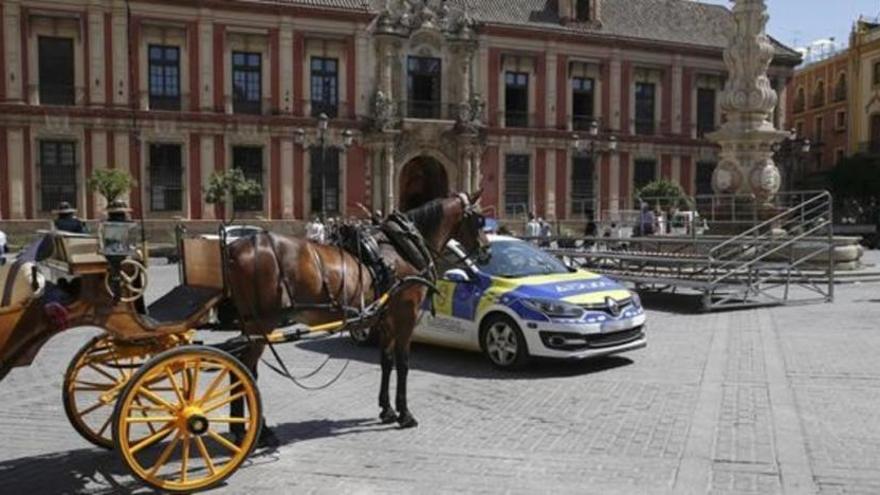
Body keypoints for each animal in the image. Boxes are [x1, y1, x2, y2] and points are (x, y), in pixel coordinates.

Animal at [225, 192, 488, 432]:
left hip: (251, 325)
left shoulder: (386, 319)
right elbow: (403, 363)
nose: (486, 251)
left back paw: (241, 427)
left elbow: (386, 361)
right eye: (479, 219)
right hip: (263, 323)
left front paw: (387, 409)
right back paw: (258, 431)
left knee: (238, 367)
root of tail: (235, 248)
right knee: (247, 370)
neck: (404, 248)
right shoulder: (406, 315)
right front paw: (405, 413)